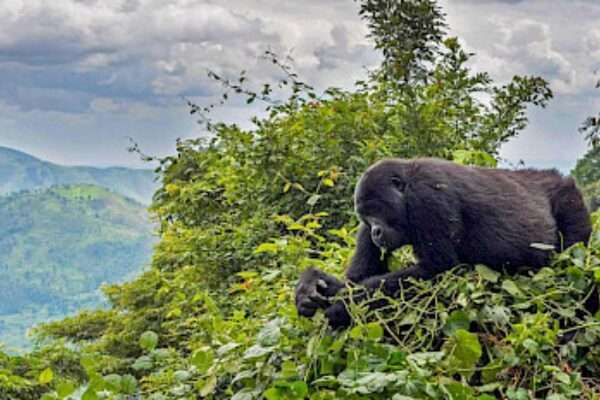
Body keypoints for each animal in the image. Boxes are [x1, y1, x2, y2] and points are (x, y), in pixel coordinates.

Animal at [294, 157, 592, 328]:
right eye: (365, 216)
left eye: (376, 210)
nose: (376, 231)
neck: (406, 185)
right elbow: (359, 275)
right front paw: (310, 285)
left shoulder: (428, 197)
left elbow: (437, 270)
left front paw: (343, 305)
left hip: (570, 202)